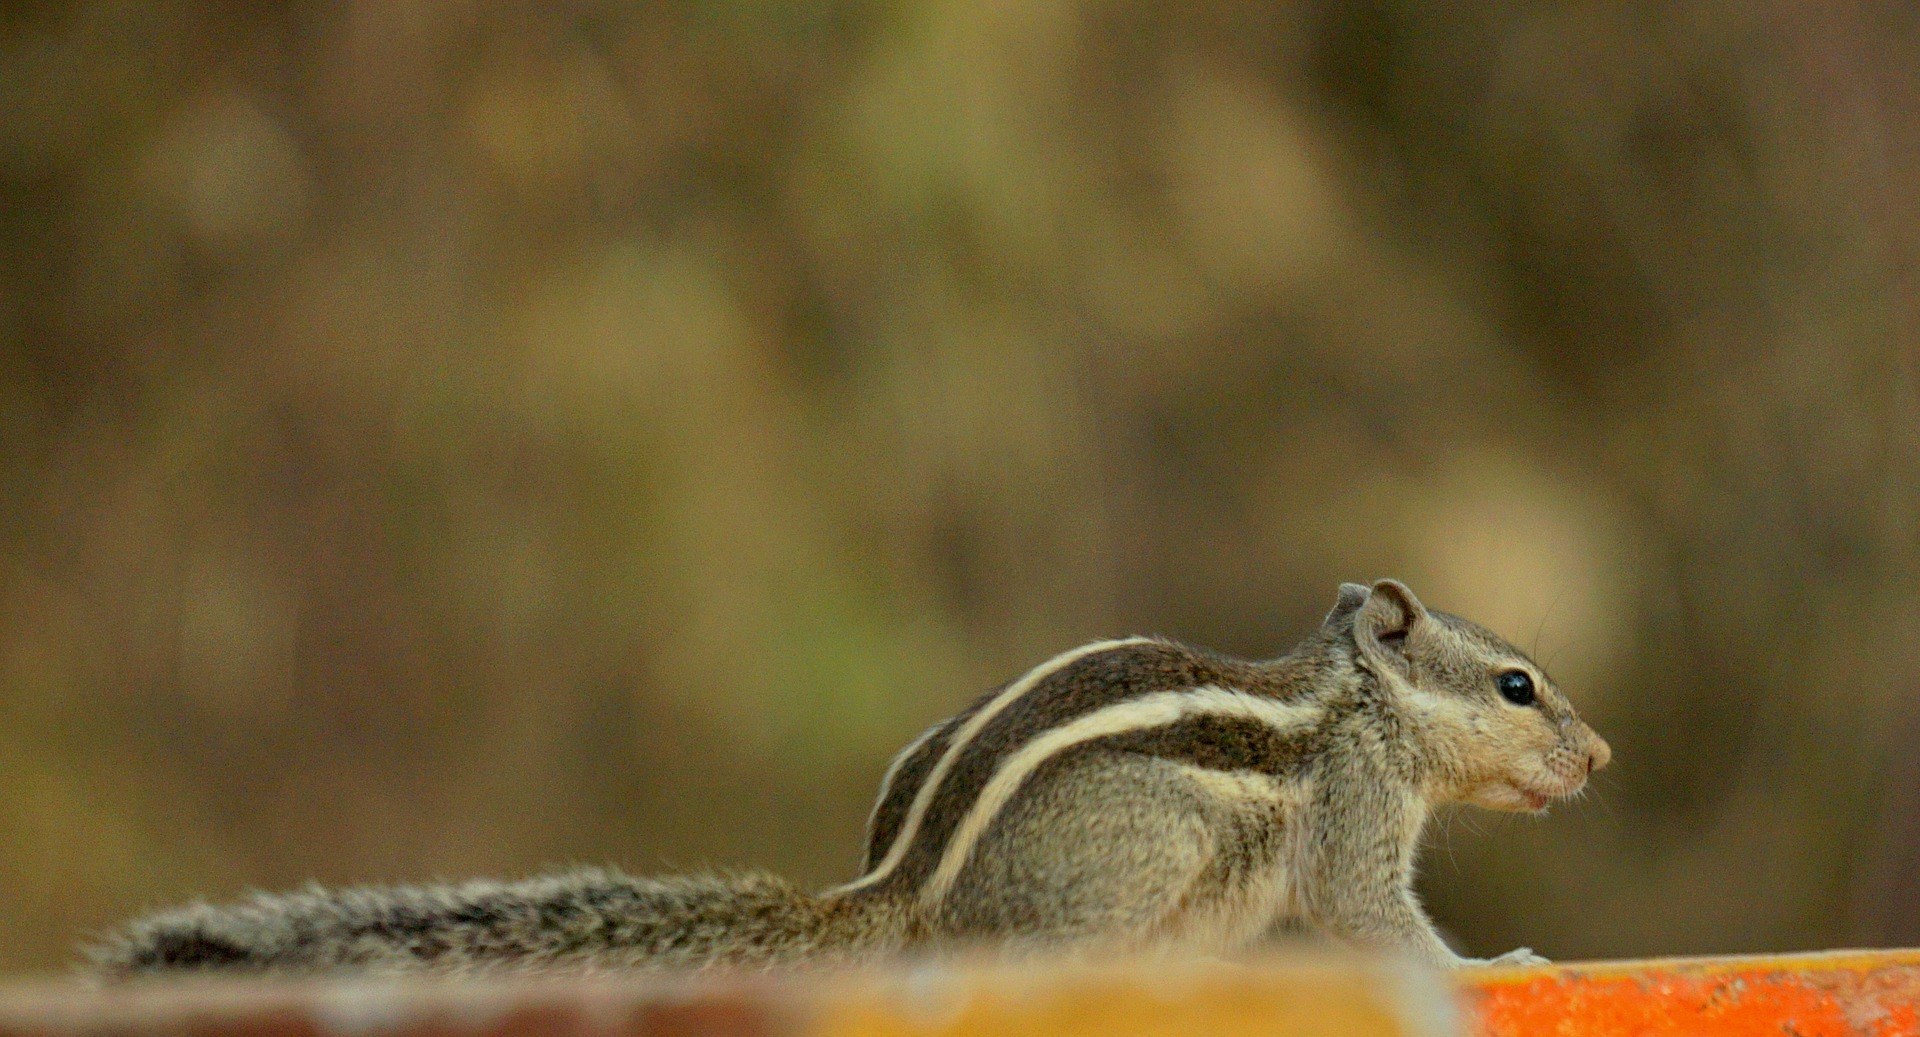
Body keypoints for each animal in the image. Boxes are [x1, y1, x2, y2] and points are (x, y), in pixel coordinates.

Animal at [92, 579, 1609, 977]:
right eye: (1518, 684)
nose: (1599, 755)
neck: (1361, 702)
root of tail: (900, 884)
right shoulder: (1353, 819)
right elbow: (1374, 919)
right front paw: (1502, 963)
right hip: (1141, 862)